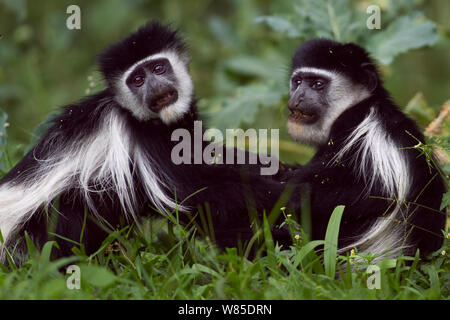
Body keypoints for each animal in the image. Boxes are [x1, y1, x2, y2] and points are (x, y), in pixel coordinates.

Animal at [0, 21, 286, 264]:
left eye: (159, 68)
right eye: (137, 80)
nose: (155, 86)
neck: (154, 121)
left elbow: (206, 160)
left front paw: (273, 167)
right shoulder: (143, 144)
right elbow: (194, 190)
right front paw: (279, 189)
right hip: (44, 223)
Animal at [284, 38, 446, 258]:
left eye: (318, 84)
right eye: (298, 82)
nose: (297, 98)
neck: (359, 105)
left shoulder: (360, 133)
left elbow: (376, 194)